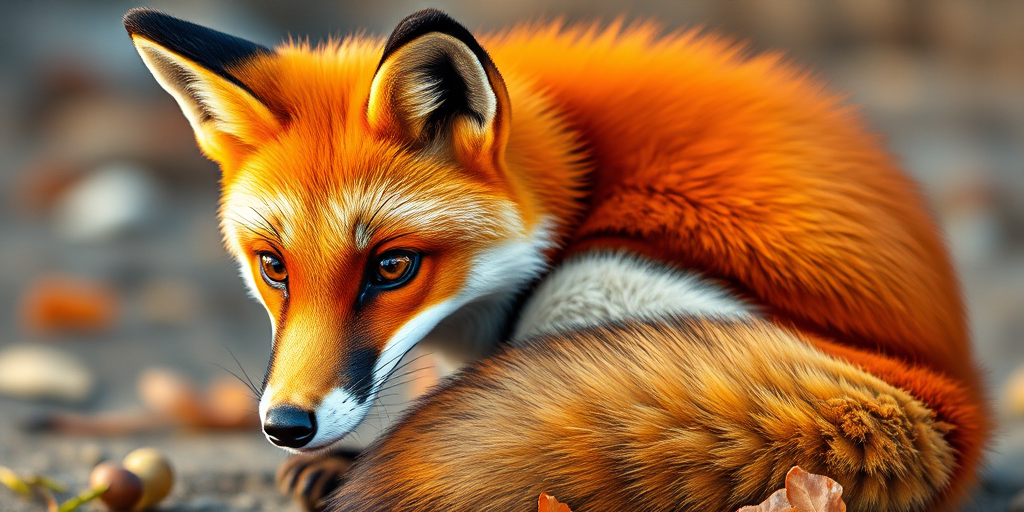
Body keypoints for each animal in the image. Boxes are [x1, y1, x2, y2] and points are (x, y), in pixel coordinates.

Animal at [124, 7, 989, 512]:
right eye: (274, 267)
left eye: (391, 268)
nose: (286, 426)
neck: (572, 170)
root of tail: (953, 400)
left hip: (585, 286)